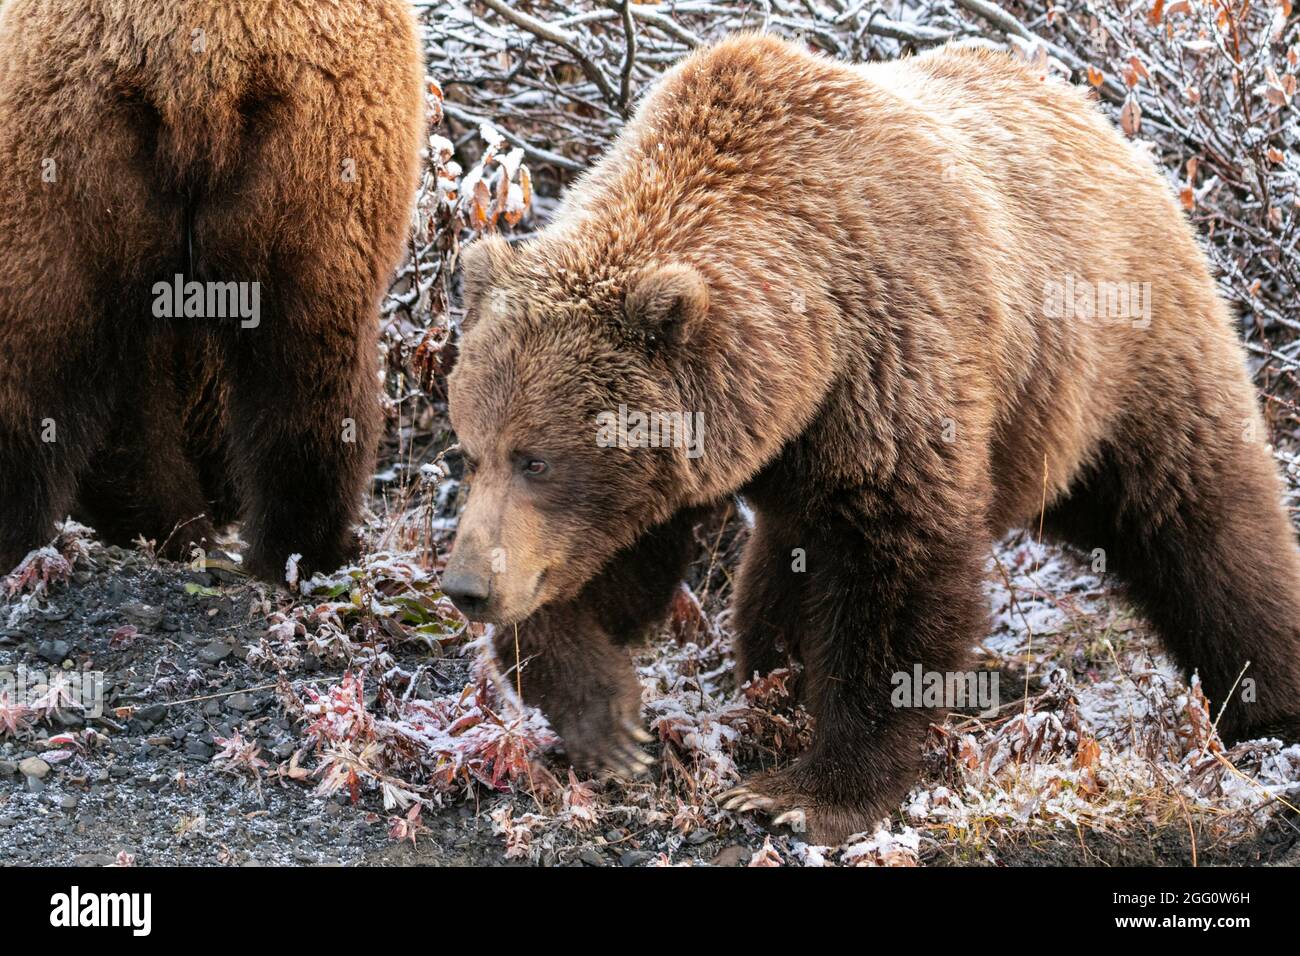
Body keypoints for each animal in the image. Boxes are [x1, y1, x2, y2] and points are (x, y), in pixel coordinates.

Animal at [444, 33, 1300, 842]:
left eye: (537, 458)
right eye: (473, 449)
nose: (464, 587)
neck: (809, 343)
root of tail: (1108, 126)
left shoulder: (895, 362)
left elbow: (895, 578)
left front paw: (805, 794)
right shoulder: (708, 448)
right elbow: (615, 562)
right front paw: (607, 717)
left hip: (1120, 361)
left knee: (1200, 517)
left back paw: (1264, 701)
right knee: (781, 569)